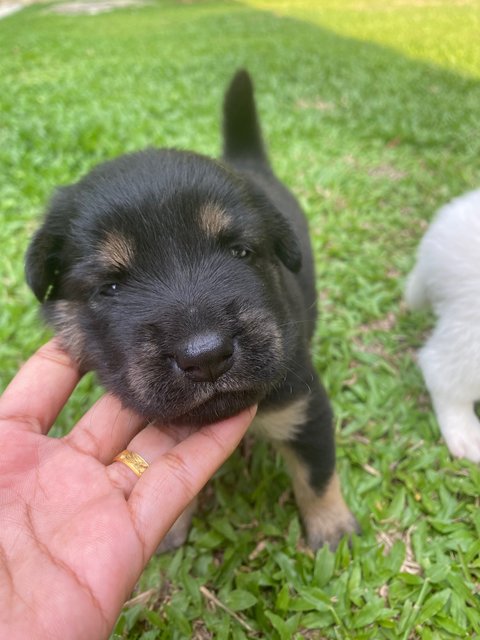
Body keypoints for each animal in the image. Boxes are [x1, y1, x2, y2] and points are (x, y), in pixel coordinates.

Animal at [25, 71, 356, 552]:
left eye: (241, 252)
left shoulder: (303, 403)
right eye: (109, 287)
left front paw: (332, 530)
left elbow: (317, 475)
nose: (207, 356)